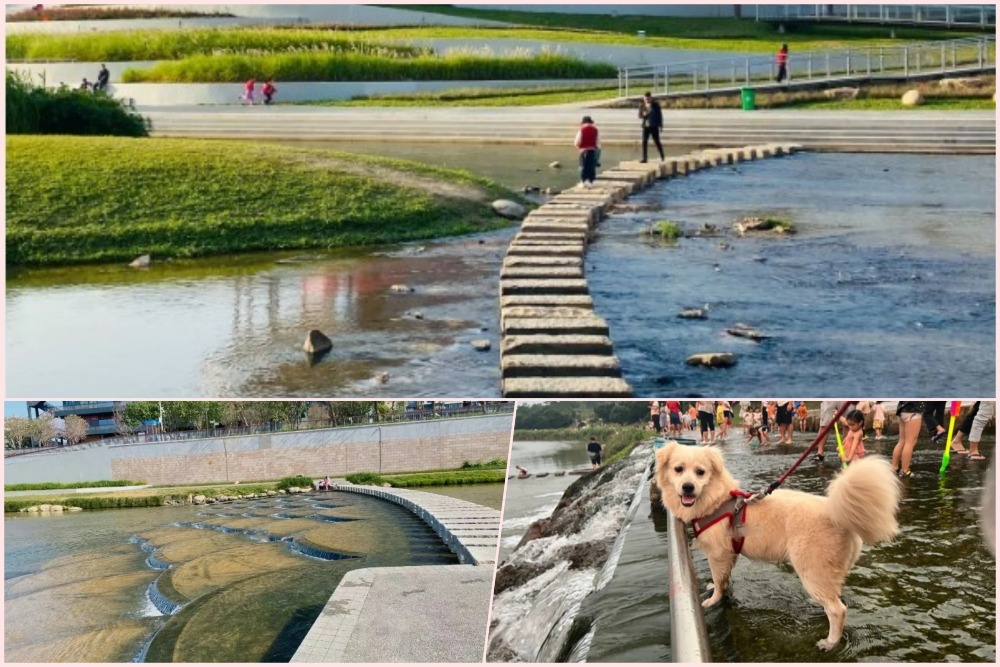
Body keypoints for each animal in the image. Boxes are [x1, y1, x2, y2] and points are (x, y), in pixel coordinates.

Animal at [656, 444, 900, 652]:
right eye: (678, 469)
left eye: (700, 472)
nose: (688, 487)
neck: (715, 502)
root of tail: (836, 513)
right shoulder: (729, 554)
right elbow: (723, 579)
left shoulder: (718, 554)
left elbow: (718, 581)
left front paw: (712, 600)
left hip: (811, 568)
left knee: (837, 610)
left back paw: (830, 643)